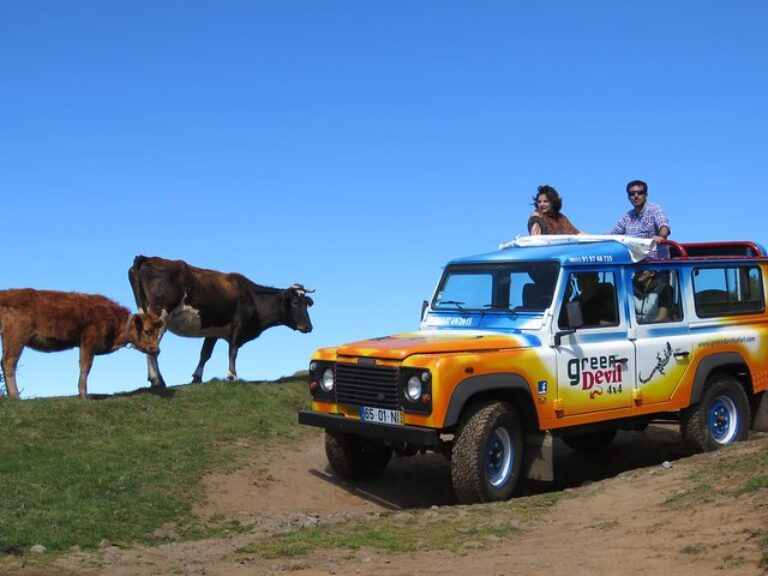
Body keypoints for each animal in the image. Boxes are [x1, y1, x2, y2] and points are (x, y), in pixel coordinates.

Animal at [0, 288, 164, 400]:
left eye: (158, 333)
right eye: (147, 330)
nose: (156, 350)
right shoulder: (88, 341)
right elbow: (86, 366)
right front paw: (84, 395)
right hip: (16, 336)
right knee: (9, 362)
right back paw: (15, 397)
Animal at [129, 255, 316, 388]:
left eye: (307, 303)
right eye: (295, 302)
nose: (309, 327)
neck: (252, 297)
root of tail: (145, 258)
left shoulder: (213, 330)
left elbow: (205, 354)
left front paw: (197, 377)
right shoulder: (238, 325)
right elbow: (232, 351)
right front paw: (232, 376)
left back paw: (153, 379)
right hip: (160, 315)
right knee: (152, 347)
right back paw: (158, 380)